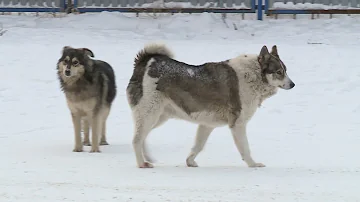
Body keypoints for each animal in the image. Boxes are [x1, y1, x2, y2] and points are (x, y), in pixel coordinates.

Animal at [126, 43, 296, 169]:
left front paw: (190, 162)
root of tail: (146, 61)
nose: (293, 84)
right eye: (279, 72)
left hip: (158, 117)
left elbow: (198, 146)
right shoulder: (238, 125)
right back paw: (141, 163)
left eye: (285, 70)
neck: (255, 75)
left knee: (142, 137)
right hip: (150, 114)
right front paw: (253, 164)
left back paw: (147, 158)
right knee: (136, 139)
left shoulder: (207, 125)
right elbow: (245, 149)